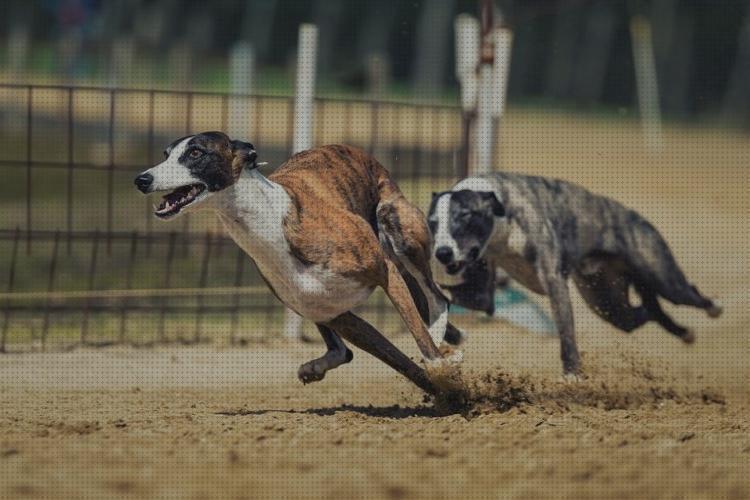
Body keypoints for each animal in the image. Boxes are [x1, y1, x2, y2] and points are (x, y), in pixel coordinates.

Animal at [137, 133, 462, 394]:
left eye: (195, 153)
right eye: (166, 154)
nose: (141, 179)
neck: (271, 224)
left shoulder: (386, 271)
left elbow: (418, 336)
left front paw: (442, 370)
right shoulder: (338, 316)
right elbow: (401, 363)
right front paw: (450, 398)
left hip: (399, 230)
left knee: (437, 298)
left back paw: (442, 344)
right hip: (316, 303)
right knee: (343, 352)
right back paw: (315, 367)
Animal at [428, 173, 724, 376]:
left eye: (465, 216)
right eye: (433, 223)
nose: (442, 253)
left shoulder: (554, 281)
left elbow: (566, 332)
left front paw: (573, 375)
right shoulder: (483, 294)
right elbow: (456, 295)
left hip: (664, 278)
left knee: (687, 295)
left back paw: (714, 308)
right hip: (609, 304)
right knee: (646, 312)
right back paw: (685, 333)